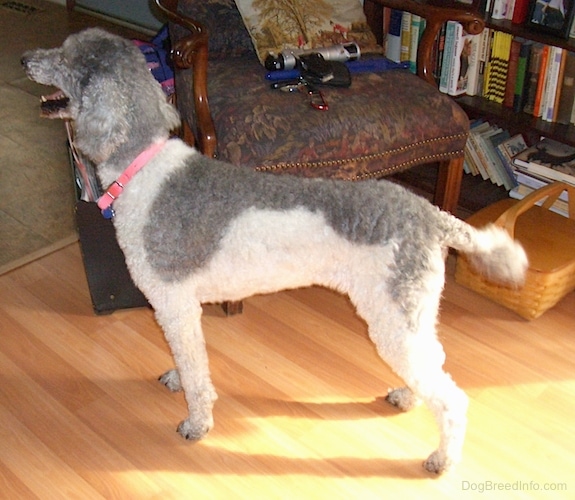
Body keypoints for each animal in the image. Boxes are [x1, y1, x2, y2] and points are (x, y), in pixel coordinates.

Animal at [22, 27, 528, 472]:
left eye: (67, 58)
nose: (25, 59)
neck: (141, 168)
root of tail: (431, 214)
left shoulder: (174, 303)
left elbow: (197, 374)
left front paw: (197, 423)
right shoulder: (180, 308)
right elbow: (185, 361)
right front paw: (175, 378)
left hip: (392, 315)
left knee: (452, 398)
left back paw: (443, 459)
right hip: (412, 314)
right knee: (433, 365)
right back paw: (406, 395)